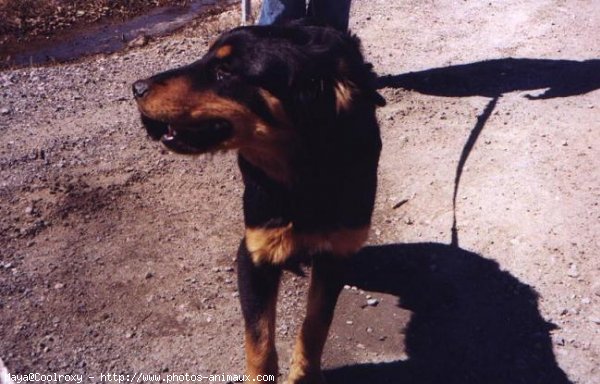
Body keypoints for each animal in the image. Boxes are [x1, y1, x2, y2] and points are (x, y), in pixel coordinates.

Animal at [132, 22, 384, 382]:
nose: (136, 87)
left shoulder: (336, 253)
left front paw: (303, 374)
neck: (305, 177)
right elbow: (259, 341)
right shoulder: (254, 253)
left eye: (225, 71)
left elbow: (315, 325)